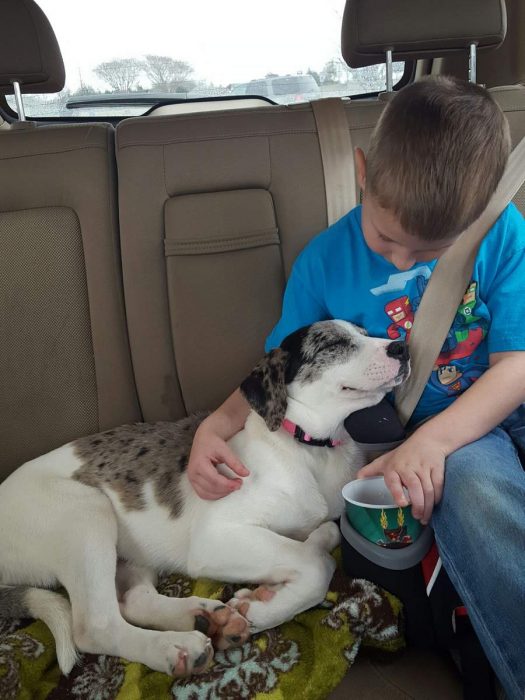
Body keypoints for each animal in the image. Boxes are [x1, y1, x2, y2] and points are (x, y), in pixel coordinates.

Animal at [0, 322, 410, 680]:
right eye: (332, 344)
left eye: (363, 330)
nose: (402, 348)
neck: (310, 448)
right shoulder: (216, 537)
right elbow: (317, 563)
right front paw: (264, 607)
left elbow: (325, 535)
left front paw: (271, 588)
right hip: (86, 513)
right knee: (95, 624)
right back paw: (174, 648)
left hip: (131, 554)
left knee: (132, 600)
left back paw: (203, 616)